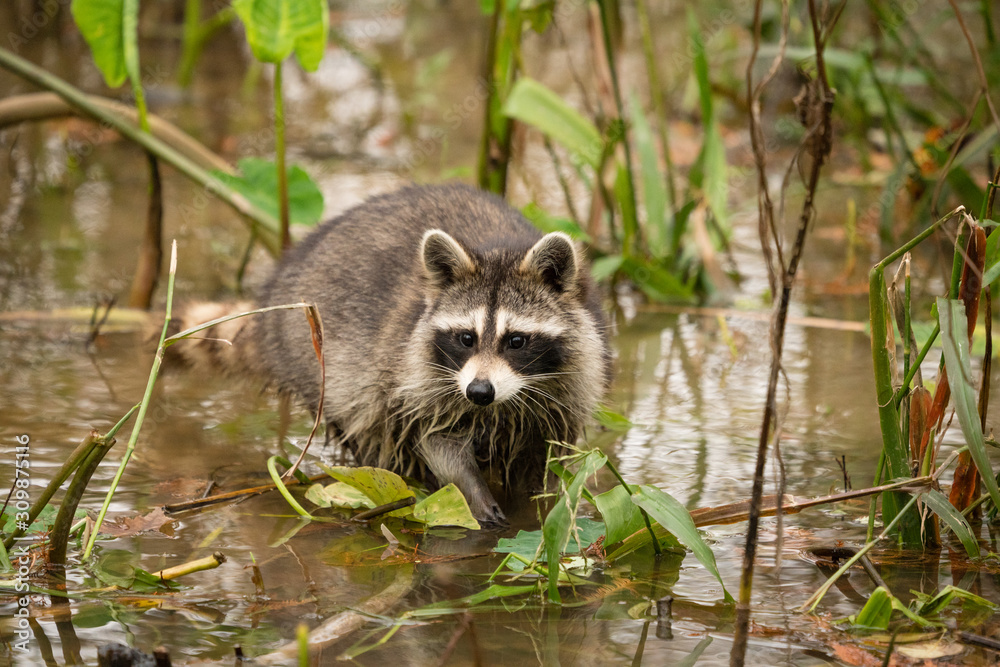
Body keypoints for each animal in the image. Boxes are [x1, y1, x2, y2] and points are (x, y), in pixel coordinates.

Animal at [189, 184, 610, 526]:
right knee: (373, 432)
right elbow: (433, 438)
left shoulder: (567, 391)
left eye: (516, 341)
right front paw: (471, 492)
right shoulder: (414, 378)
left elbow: (547, 461)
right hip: (320, 363)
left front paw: (542, 510)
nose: (479, 392)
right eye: (466, 338)